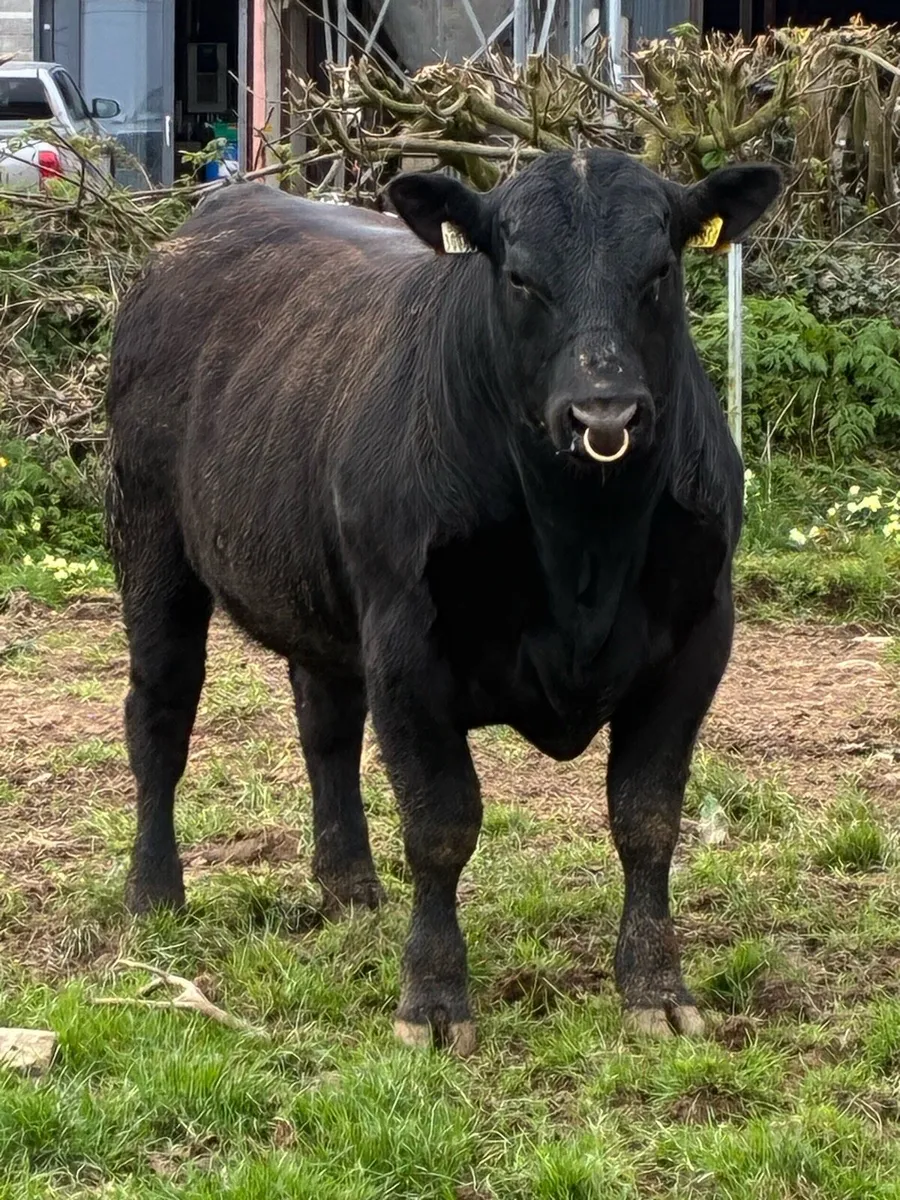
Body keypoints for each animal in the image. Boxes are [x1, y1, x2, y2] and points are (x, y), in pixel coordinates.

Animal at [105, 148, 780, 1053]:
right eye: (520, 277)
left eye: (660, 270)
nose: (604, 412)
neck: (584, 545)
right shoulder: (406, 647)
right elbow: (440, 824)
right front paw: (432, 1000)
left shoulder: (696, 641)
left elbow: (647, 819)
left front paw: (657, 989)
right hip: (149, 539)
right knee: (161, 716)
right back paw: (155, 893)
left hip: (318, 591)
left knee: (325, 728)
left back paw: (349, 885)